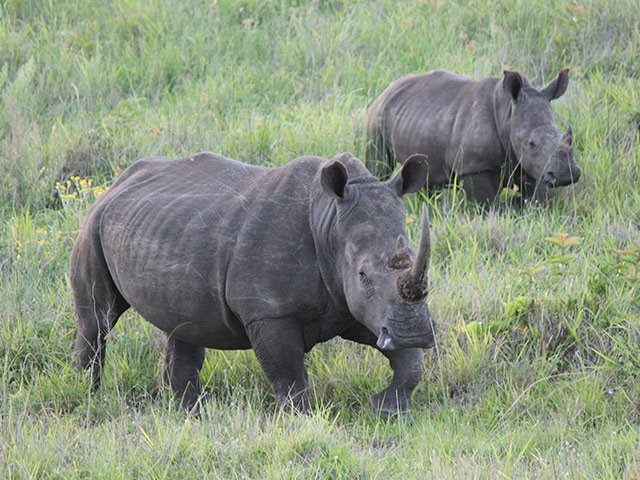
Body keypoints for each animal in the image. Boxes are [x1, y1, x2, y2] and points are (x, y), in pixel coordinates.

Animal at [70, 151, 436, 417]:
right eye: (363, 275)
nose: (415, 333)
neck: (330, 222)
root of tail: (116, 182)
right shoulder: (269, 312)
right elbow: (288, 374)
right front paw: (302, 420)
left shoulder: (355, 306)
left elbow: (409, 362)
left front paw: (387, 409)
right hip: (93, 225)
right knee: (98, 320)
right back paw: (88, 397)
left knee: (183, 323)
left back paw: (191, 414)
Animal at [365, 68, 580, 203]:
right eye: (531, 143)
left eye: (566, 136)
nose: (566, 174)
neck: (508, 113)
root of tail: (388, 88)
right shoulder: (475, 166)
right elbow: (486, 205)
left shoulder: (535, 167)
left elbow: (537, 200)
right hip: (377, 115)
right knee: (378, 166)